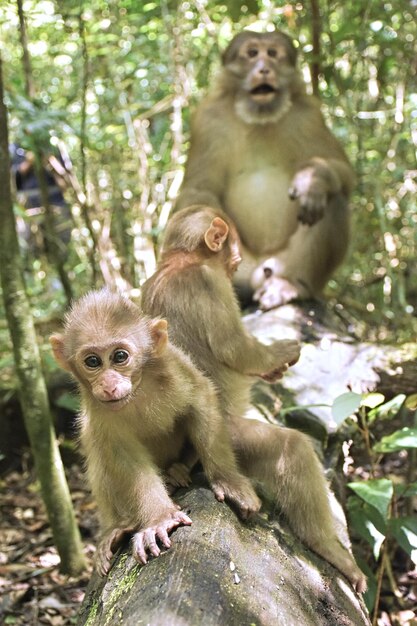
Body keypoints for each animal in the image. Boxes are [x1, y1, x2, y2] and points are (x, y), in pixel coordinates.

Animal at [49, 290, 260, 572]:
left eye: (119, 357)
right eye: (92, 361)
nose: (108, 385)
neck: (137, 391)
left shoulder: (174, 366)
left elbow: (201, 399)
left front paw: (229, 481)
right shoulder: (100, 411)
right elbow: (121, 453)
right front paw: (159, 518)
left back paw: (178, 469)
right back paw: (121, 524)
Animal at [141, 205, 366, 588]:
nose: (238, 259)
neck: (179, 263)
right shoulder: (211, 282)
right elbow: (235, 348)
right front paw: (279, 354)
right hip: (227, 436)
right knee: (292, 449)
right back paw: (325, 544)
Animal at [174, 30, 352, 308]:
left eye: (272, 53)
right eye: (252, 53)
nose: (264, 69)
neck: (259, 118)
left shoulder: (309, 115)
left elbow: (343, 172)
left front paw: (313, 180)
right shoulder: (208, 120)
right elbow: (199, 189)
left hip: (282, 263)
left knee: (332, 200)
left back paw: (291, 284)